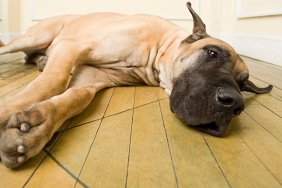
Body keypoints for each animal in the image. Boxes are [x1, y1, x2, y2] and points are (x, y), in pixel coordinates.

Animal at [0, 2, 274, 167]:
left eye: (243, 84)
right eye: (213, 53)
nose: (234, 104)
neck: (158, 49)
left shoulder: (90, 79)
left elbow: (75, 99)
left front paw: (35, 128)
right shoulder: (72, 46)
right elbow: (53, 81)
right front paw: (9, 108)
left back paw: (40, 60)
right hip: (38, 36)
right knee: (9, 48)